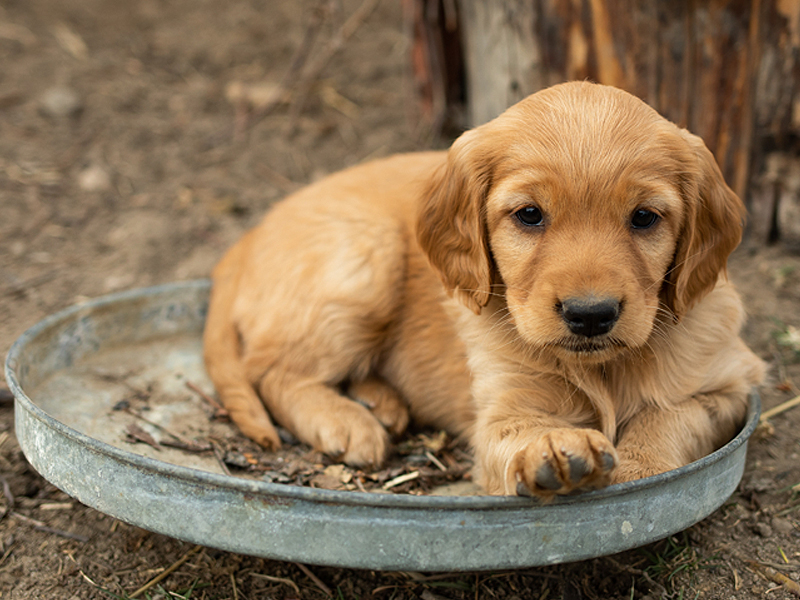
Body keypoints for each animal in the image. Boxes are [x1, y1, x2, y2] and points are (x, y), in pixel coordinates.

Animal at [203, 82, 764, 500]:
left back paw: (380, 402)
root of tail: (250, 236)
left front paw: (639, 469)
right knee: (271, 372)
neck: (600, 369)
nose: (590, 315)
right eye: (529, 215)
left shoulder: (730, 383)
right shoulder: (502, 408)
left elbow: (670, 413)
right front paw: (555, 448)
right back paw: (347, 422)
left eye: (645, 217)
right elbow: (524, 432)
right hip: (366, 257)